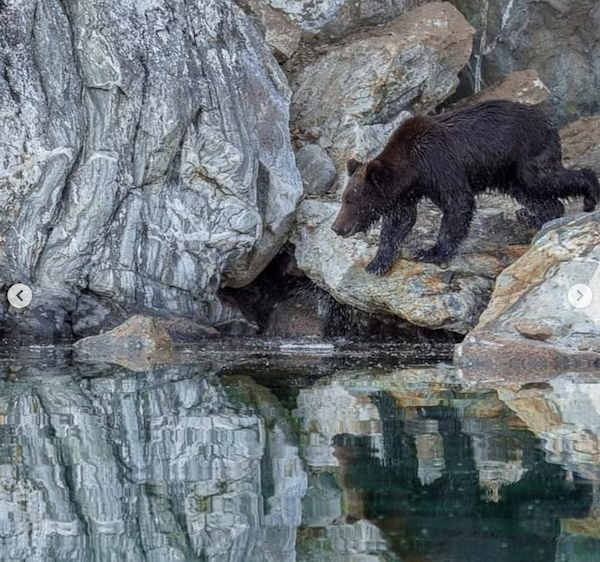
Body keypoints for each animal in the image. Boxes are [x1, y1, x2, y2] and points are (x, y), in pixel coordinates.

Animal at [332, 102, 600, 276]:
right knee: (530, 193)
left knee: (543, 180)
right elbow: (399, 222)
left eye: (352, 201)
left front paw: (431, 252)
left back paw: (589, 195)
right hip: (508, 170)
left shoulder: (440, 165)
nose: (337, 227)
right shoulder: (407, 193)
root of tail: (548, 120)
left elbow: (457, 204)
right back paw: (533, 215)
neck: (414, 168)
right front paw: (377, 262)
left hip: (527, 154)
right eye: (344, 199)